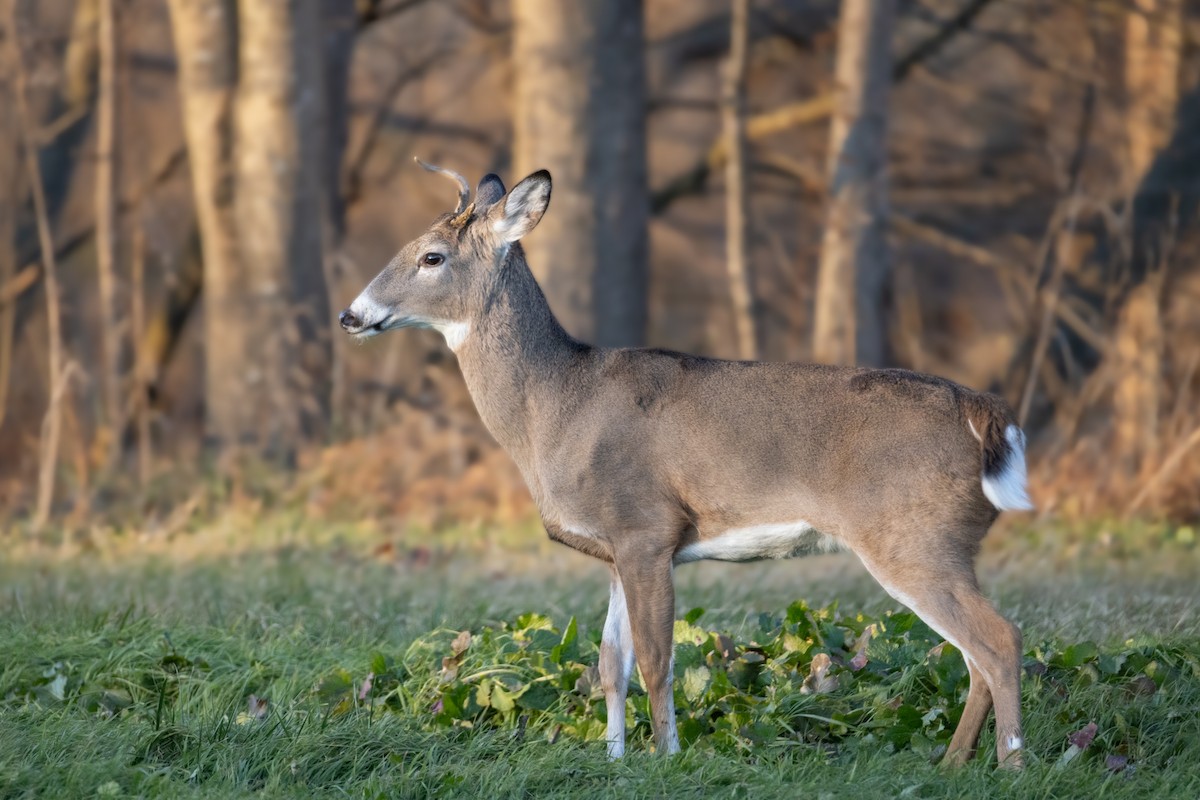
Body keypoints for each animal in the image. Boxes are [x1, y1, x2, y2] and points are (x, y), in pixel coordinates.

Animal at [339, 161, 1034, 767]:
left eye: (432, 256)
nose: (351, 314)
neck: (557, 406)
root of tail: (987, 414)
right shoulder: (616, 545)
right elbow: (610, 664)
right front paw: (615, 759)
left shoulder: (646, 527)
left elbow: (656, 659)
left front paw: (666, 757)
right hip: (940, 543)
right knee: (974, 653)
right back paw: (952, 763)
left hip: (912, 535)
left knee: (999, 641)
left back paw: (1011, 765)